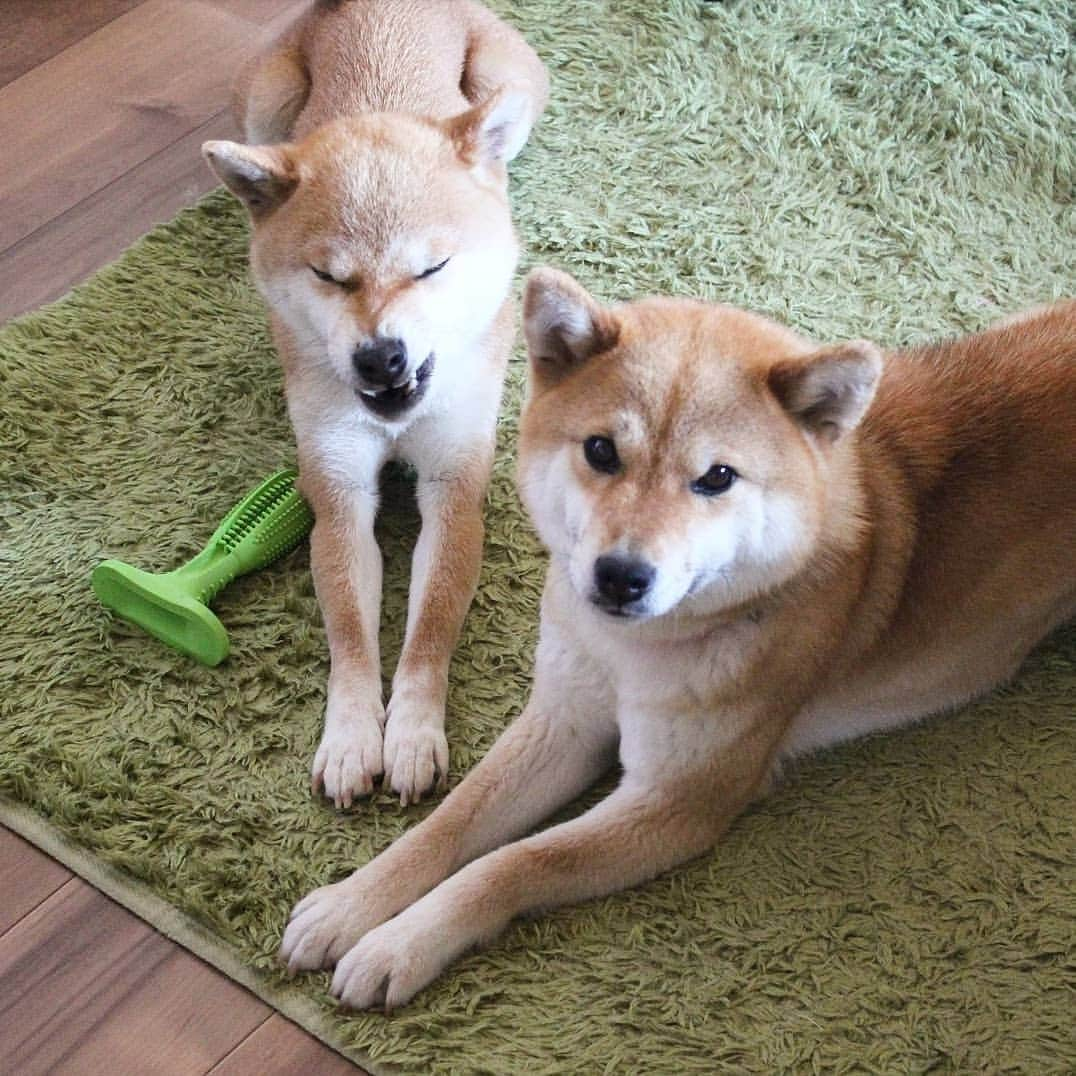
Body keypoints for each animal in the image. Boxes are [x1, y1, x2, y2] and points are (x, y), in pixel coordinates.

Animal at [201, 0, 546, 809]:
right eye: (328, 276)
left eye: (433, 267)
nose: (380, 357)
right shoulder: (337, 491)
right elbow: (352, 637)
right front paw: (354, 736)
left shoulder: (454, 487)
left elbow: (430, 627)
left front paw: (414, 732)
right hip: (264, 103)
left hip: (514, 79)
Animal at [279, 269, 1076, 1007]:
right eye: (601, 451)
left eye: (718, 476)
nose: (621, 576)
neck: (630, 653)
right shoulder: (564, 719)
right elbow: (451, 823)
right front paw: (351, 903)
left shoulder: (676, 802)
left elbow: (514, 864)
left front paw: (399, 944)